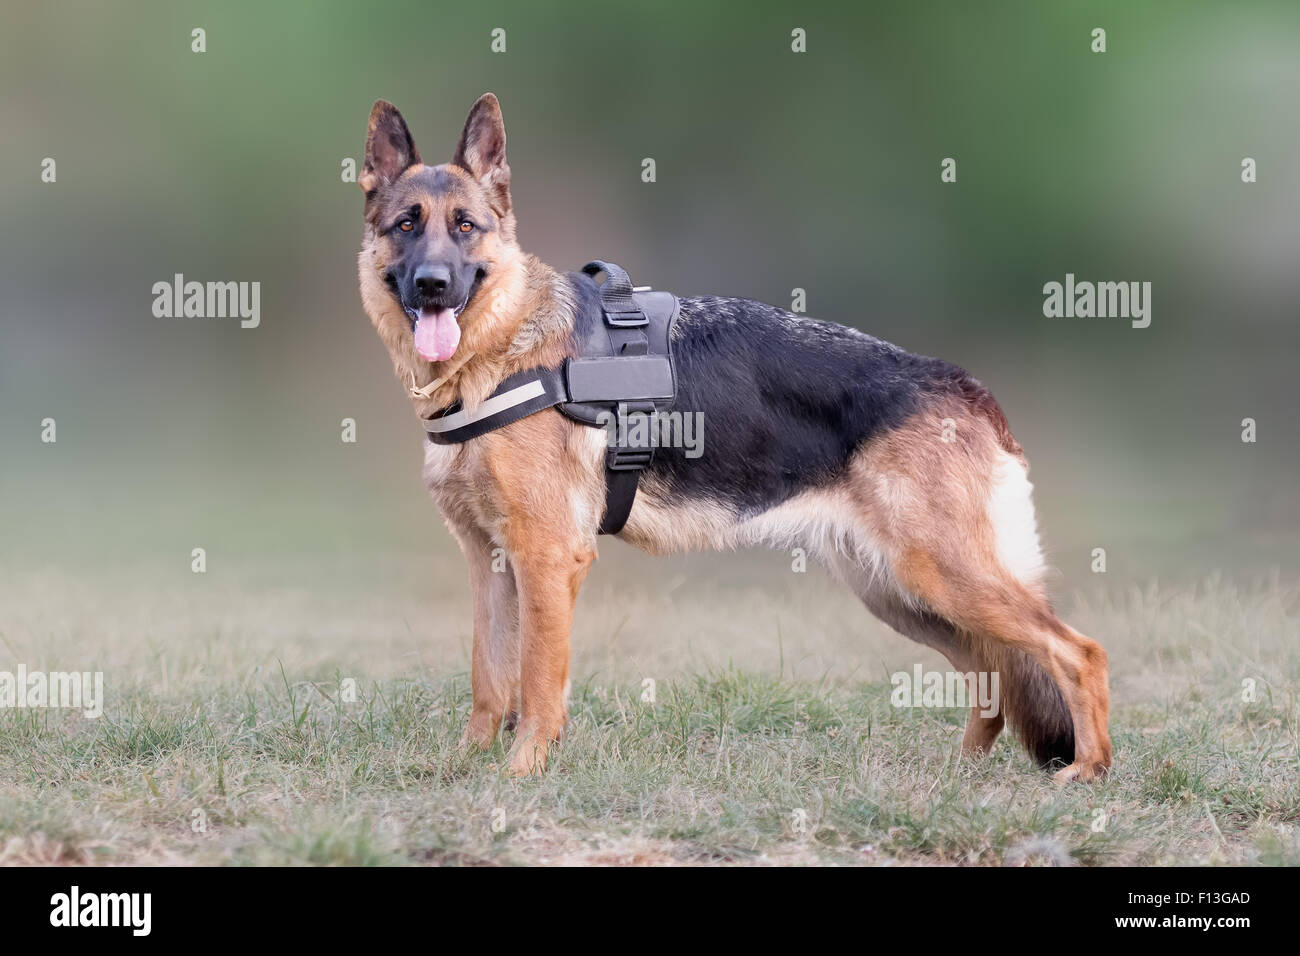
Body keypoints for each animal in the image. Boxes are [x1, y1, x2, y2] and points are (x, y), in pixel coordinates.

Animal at [361, 93, 1112, 780]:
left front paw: (521, 775)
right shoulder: (490, 563)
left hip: (943, 579)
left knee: (1077, 652)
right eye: (406, 225)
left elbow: (539, 682)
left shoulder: (547, 559)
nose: (432, 285)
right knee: (992, 671)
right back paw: (962, 772)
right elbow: (490, 678)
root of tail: (967, 388)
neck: (497, 352)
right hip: (904, 595)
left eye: (466, 227)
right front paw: (465, 767)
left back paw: (1087, 770)